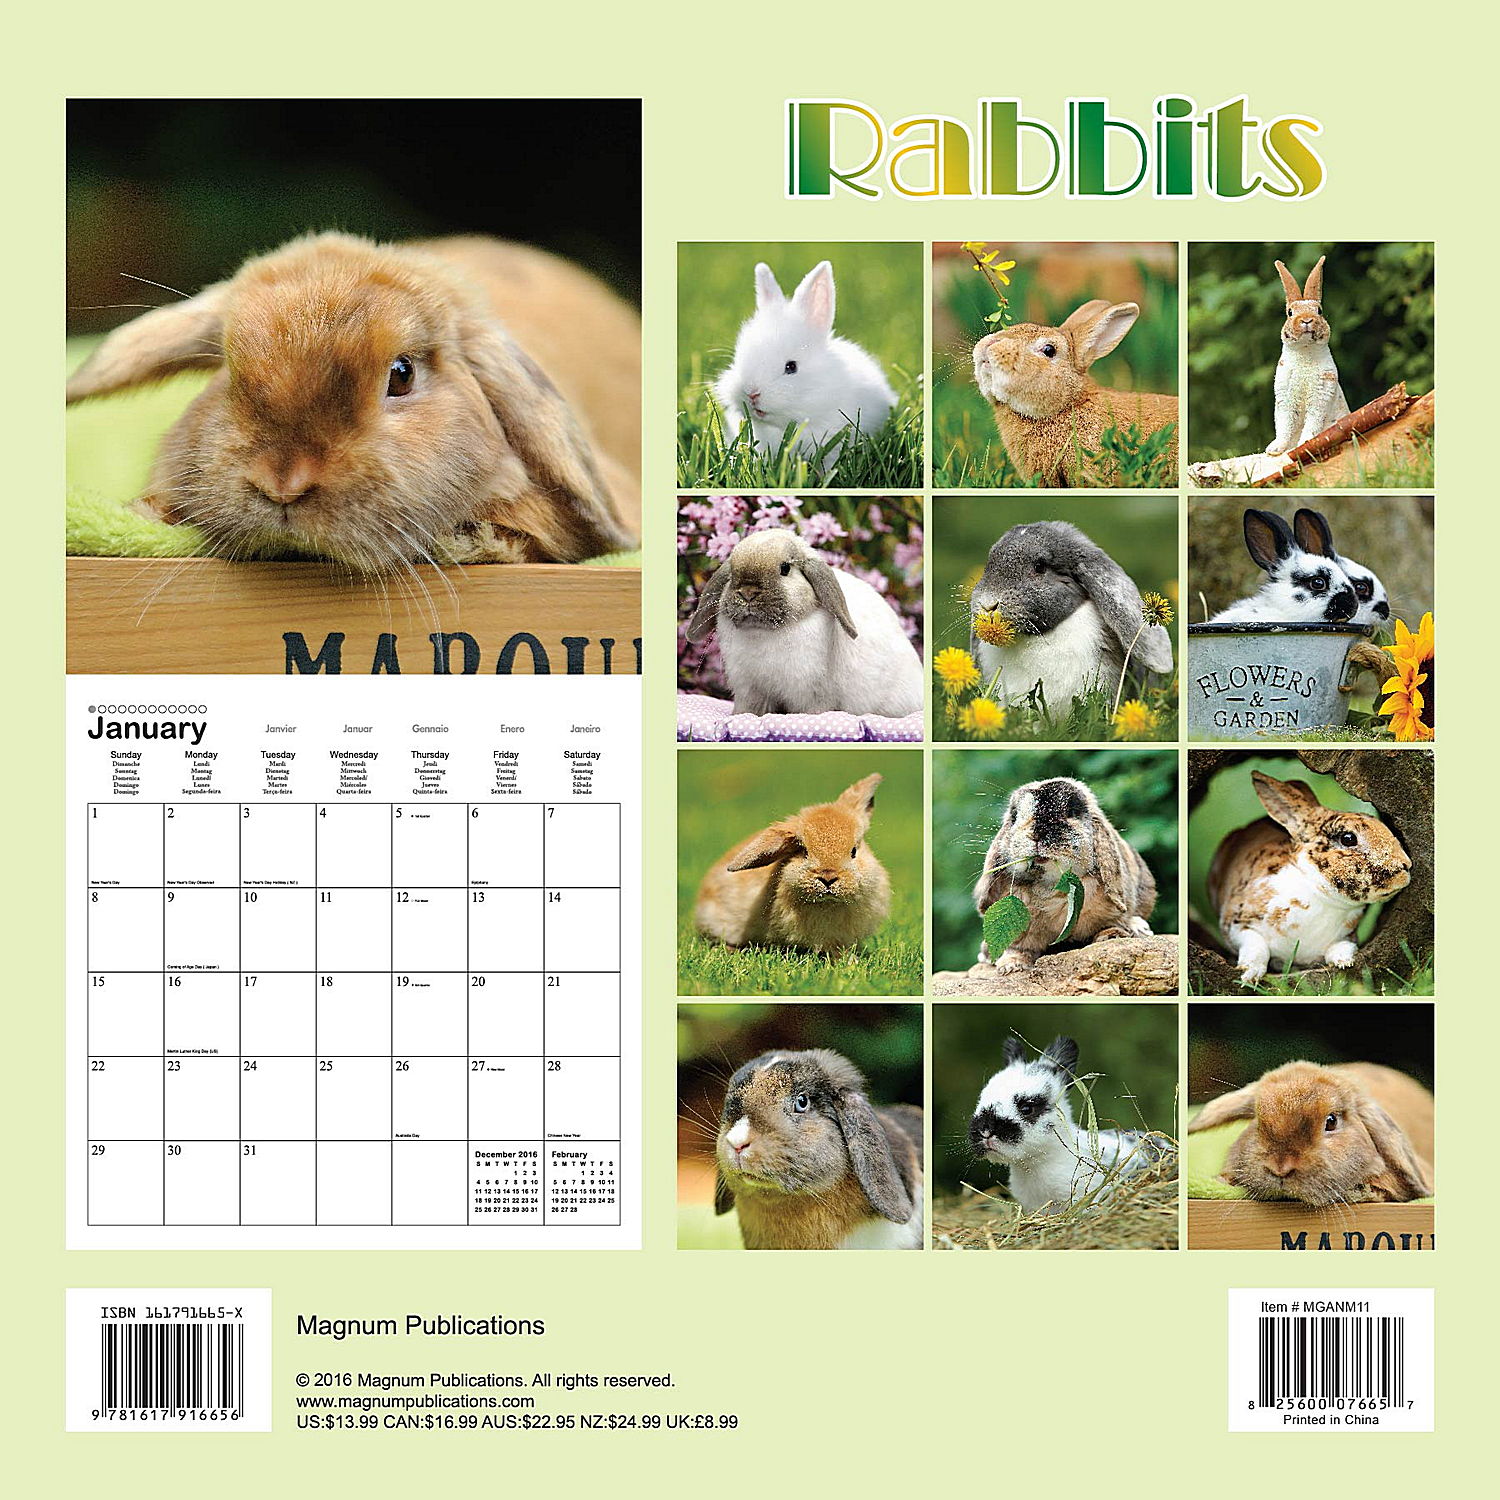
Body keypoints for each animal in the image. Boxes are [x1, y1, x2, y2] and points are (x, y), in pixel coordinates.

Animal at [684, 528, 923, 716]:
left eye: (785, 569)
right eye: (732, 574)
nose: (748, 593)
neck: (765, 632)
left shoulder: (812, 692)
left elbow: (811, 712)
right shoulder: (750, 689)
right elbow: (750, 711)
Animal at [973, 777, 1155, 971]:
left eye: (1072, 811)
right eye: (1014, 816)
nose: (1038, 833)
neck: (1052, 886)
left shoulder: (1111, 913)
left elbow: (1110, 924)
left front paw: (1113, 936)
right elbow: (1018, 948)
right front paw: (1011, 966)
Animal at [1208, 770, 1412, 985]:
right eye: (1348, 838)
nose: (1406, 865)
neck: (1319, 895)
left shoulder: (1347, 936)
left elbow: (1342, 946)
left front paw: (1343, 961)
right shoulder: (1235, 924)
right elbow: (1255, 945)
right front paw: (1249, 975)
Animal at [1267, 256, 1349, 456]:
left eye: (1319, 310)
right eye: (1290, 312)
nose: (1306, 320)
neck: (1305, 350)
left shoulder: (1321, 397)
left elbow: (1312, 424)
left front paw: (1304, 444)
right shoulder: (1285, 399)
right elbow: (1284, 426)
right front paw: (1274, 449)